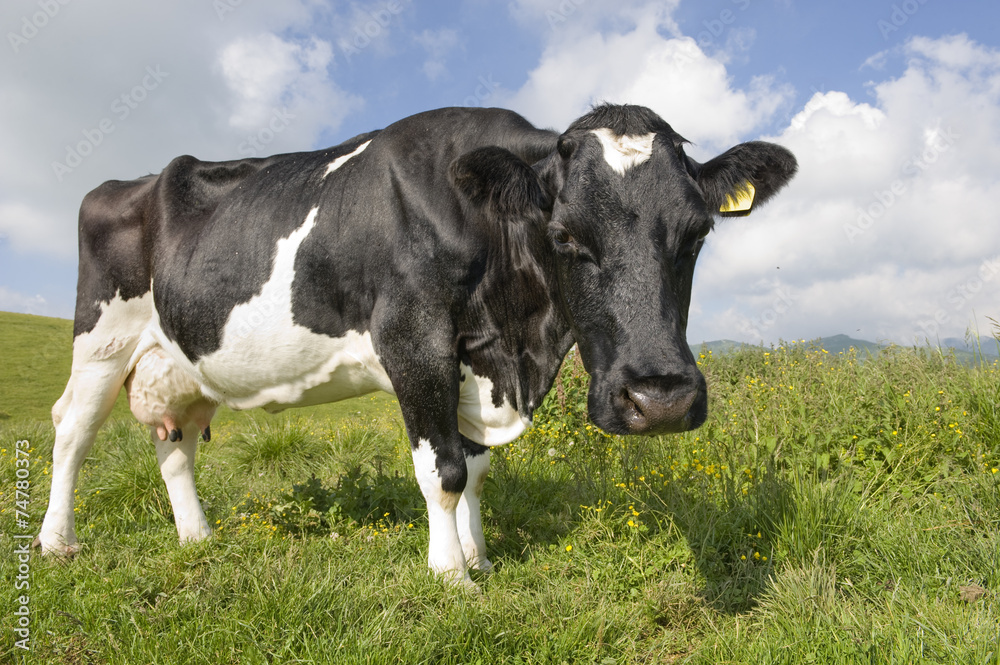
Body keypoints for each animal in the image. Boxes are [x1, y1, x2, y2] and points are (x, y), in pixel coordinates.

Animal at [39, 105, 796, 588]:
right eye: (564, 234)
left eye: (698, 233)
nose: (660, 398)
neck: (517, 345)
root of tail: (129, 181)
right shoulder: (414, 339)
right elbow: (445, 470)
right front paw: (451, 573)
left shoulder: (479, 360)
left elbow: (478, 468)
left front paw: (480, 556)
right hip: (102, 337)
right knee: (72, 429)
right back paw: (56, 540)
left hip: (182, 362)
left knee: (175, 445)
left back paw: (197, 536)